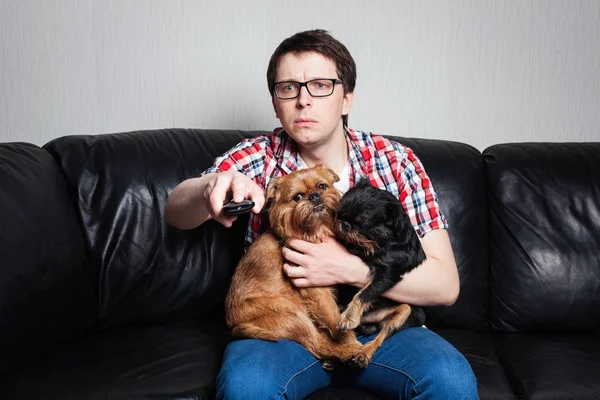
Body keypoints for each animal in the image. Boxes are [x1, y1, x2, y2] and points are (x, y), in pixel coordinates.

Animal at [226, 164, 360, 368]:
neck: (312, 231)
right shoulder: (316, 289)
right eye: (297, 197)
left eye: (322, 186)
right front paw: (350, 342)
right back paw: (348, 352)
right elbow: (334, 318)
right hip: (290, 313)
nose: (314, 196)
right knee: (316, 343)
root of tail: (233, 326)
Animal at [332, 177, 426, 366]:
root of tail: (369, 321)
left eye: (360, 224)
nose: (344, 224)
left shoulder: (388, 274)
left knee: (383, 333)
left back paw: (363, 353)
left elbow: (365, 293)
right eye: (339, 214)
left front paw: (349, 317)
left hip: (408, 312)